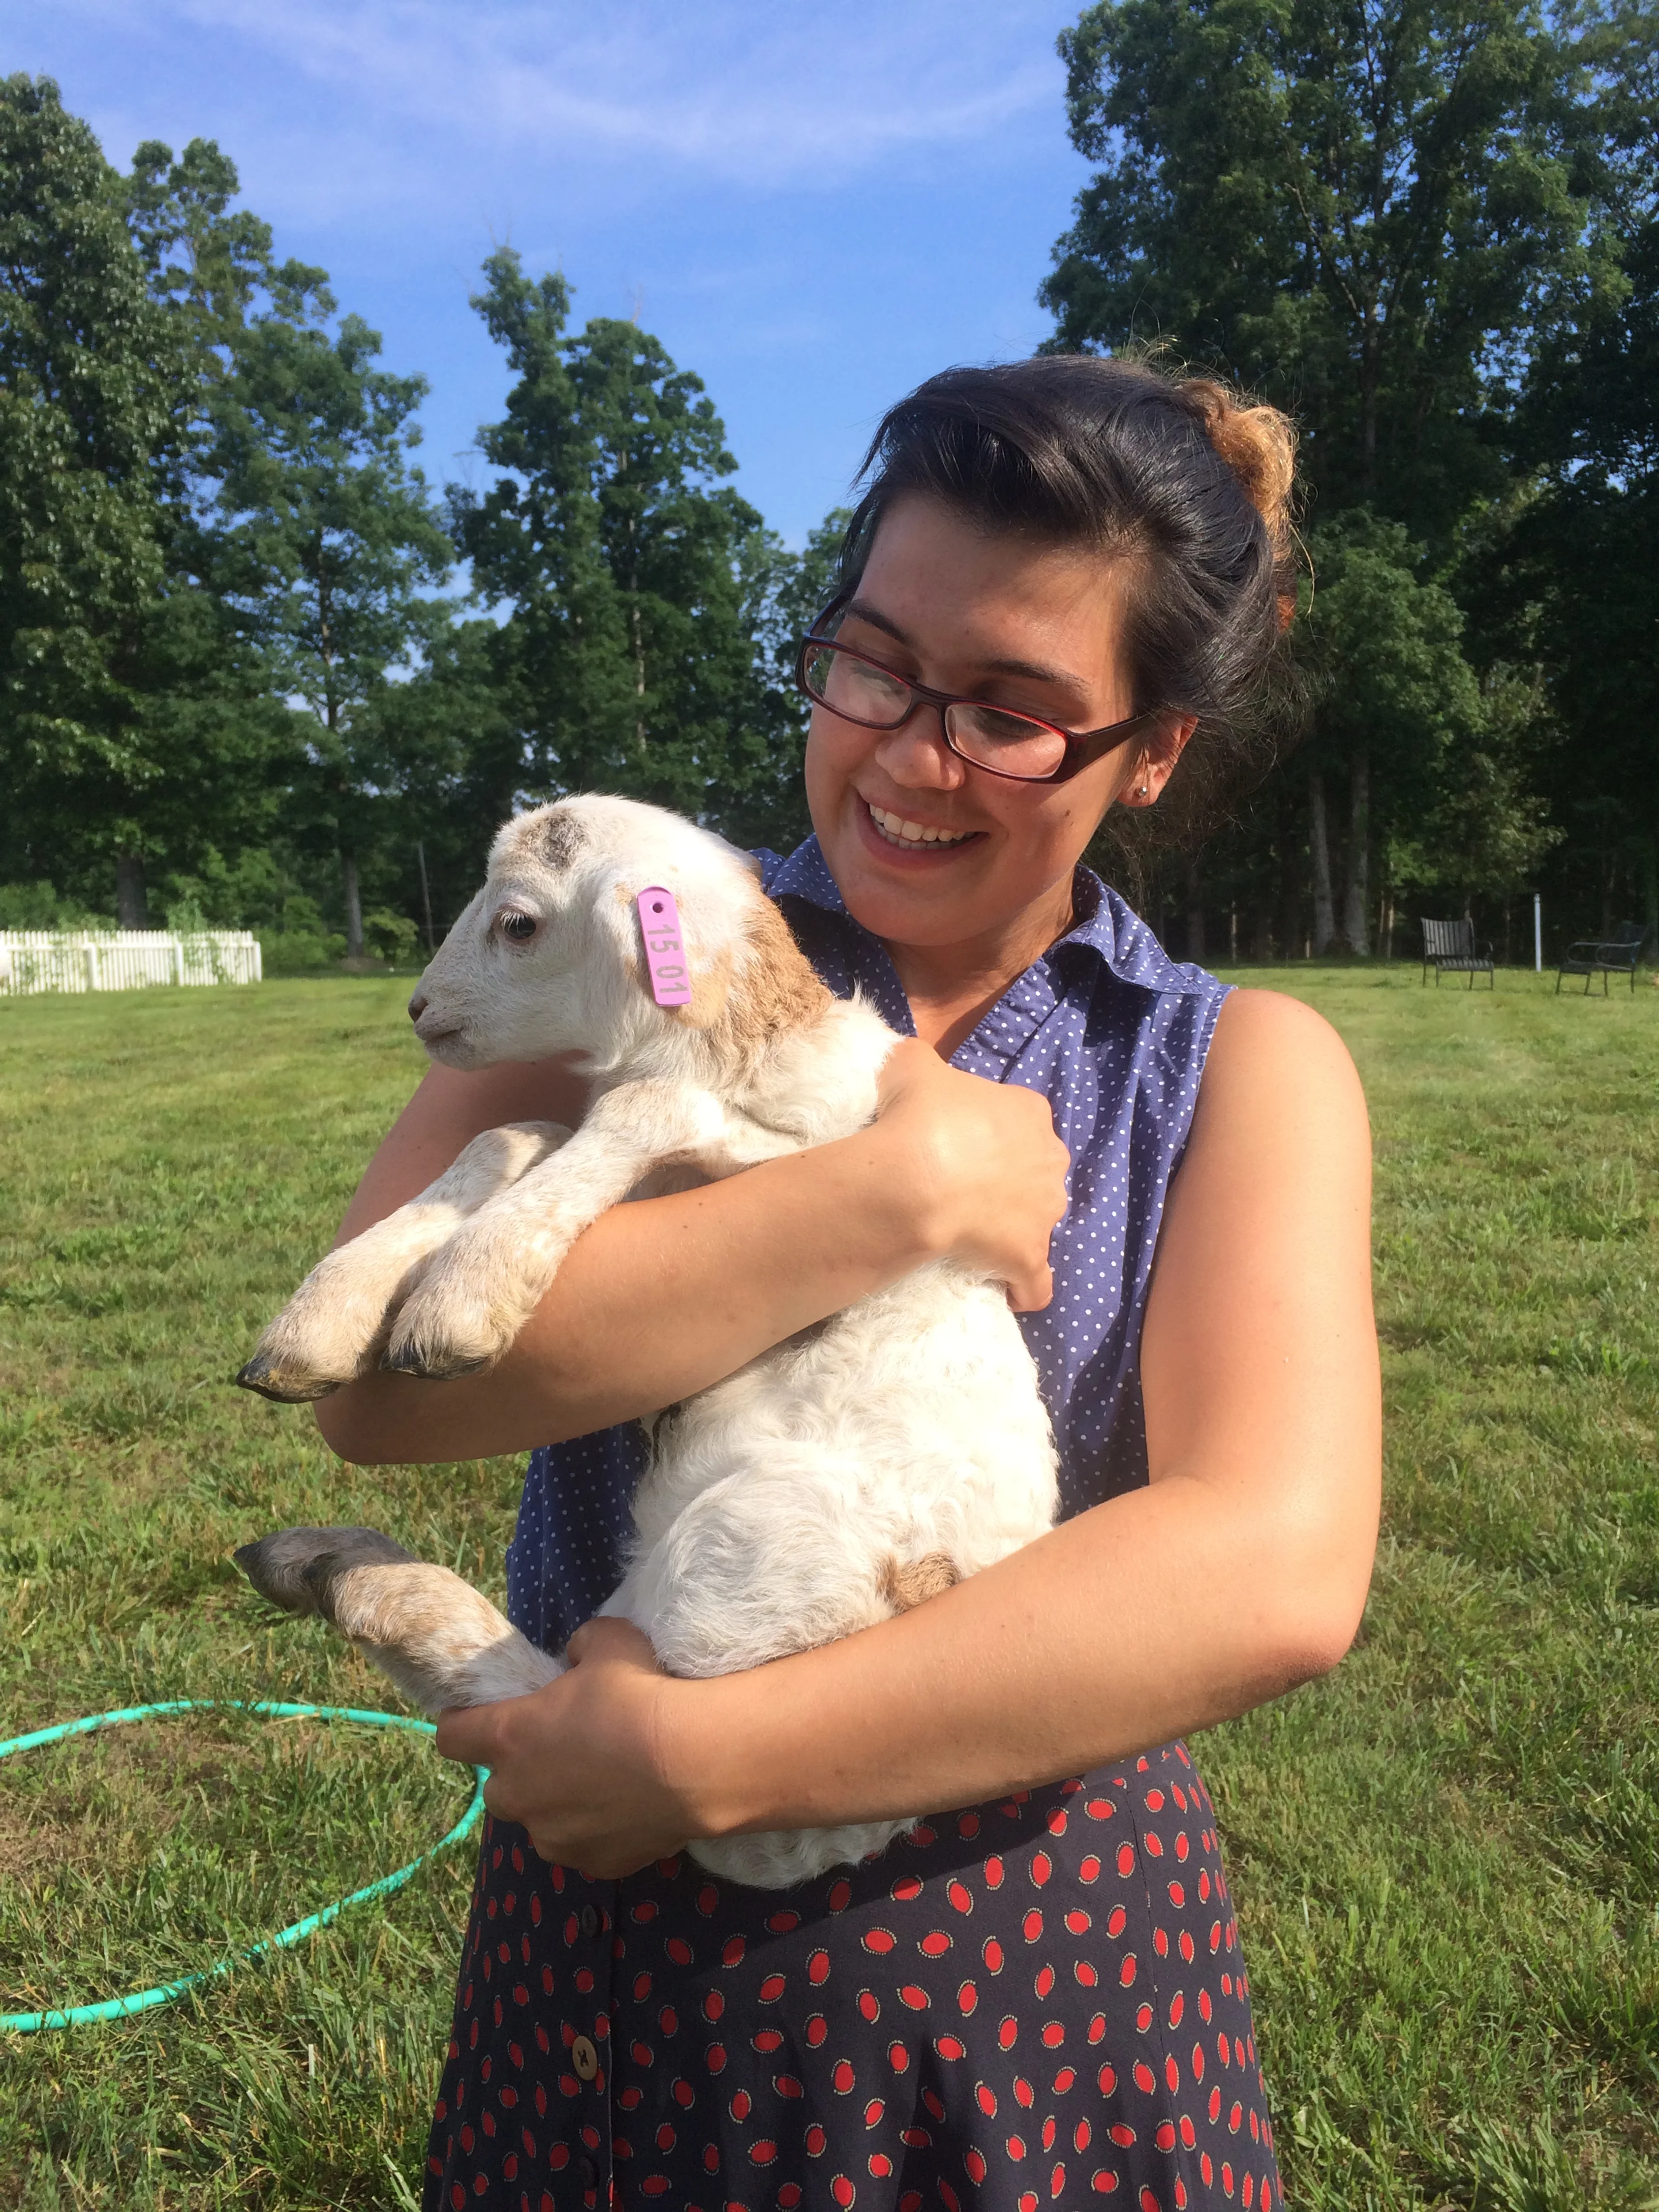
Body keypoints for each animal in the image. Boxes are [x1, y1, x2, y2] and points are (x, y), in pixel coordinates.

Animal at [235, 794, 1058, 1887]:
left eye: (518, 923)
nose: (416, 1008)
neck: (741, 1052)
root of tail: (835, 1837)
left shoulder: (797, 1151)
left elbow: (638, 1106)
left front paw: (458, 1297)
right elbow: (513, 1135)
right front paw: (325, 1317)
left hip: (735, 1575)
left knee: (551, 1697)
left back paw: (363, 1581)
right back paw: (316, 1558)